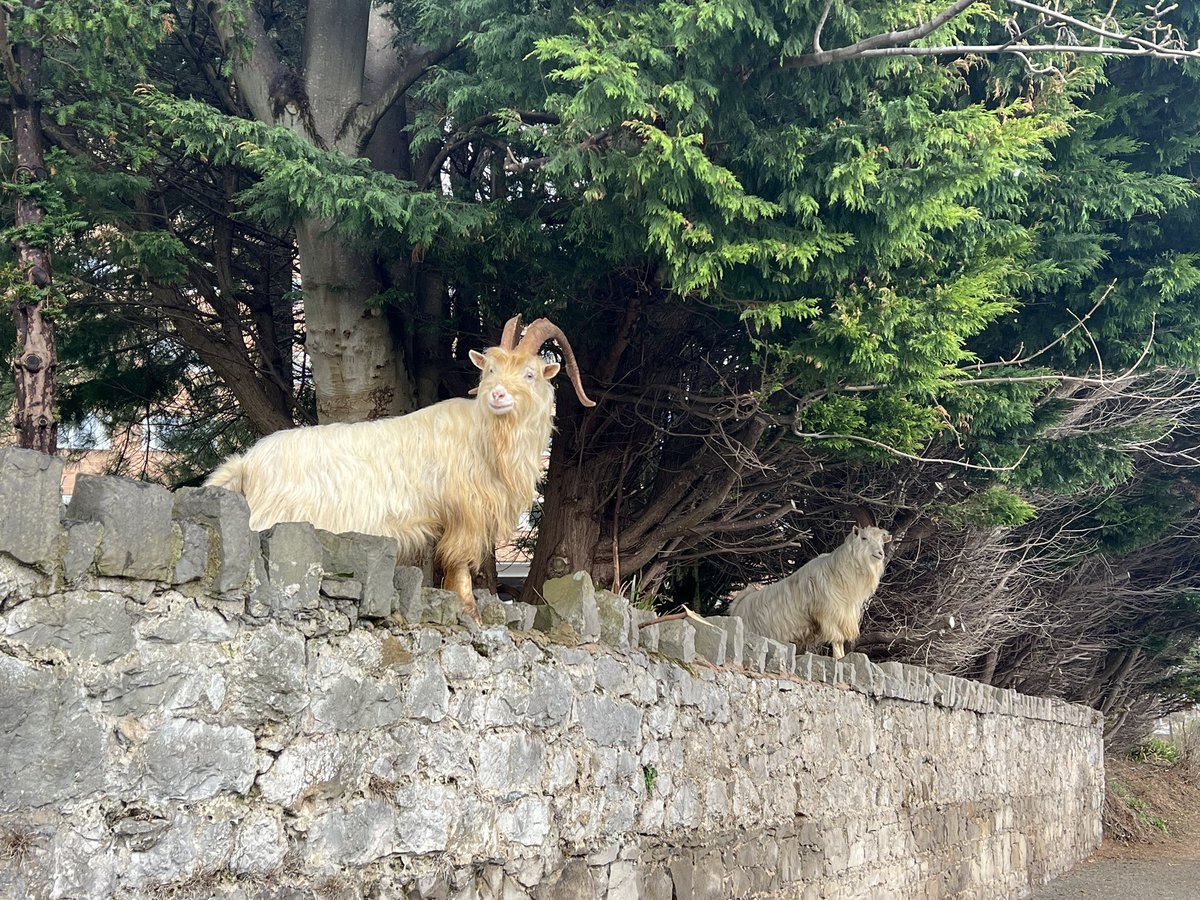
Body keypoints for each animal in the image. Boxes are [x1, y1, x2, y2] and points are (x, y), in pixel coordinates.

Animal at [205, 316, 595, 620]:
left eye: (530, 374)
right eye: (490, 369)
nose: (497, 395)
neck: (483, 435)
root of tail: (246, 463)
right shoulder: (464, 513)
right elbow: (459, 563)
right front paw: (471, 612)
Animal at [728, 525, 892, 659]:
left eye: (882, 541)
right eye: (864, 538)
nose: (880, 553)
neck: (836, 571)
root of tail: (738, 605)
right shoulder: (829, 614)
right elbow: (837, 640)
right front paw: (839, 658)